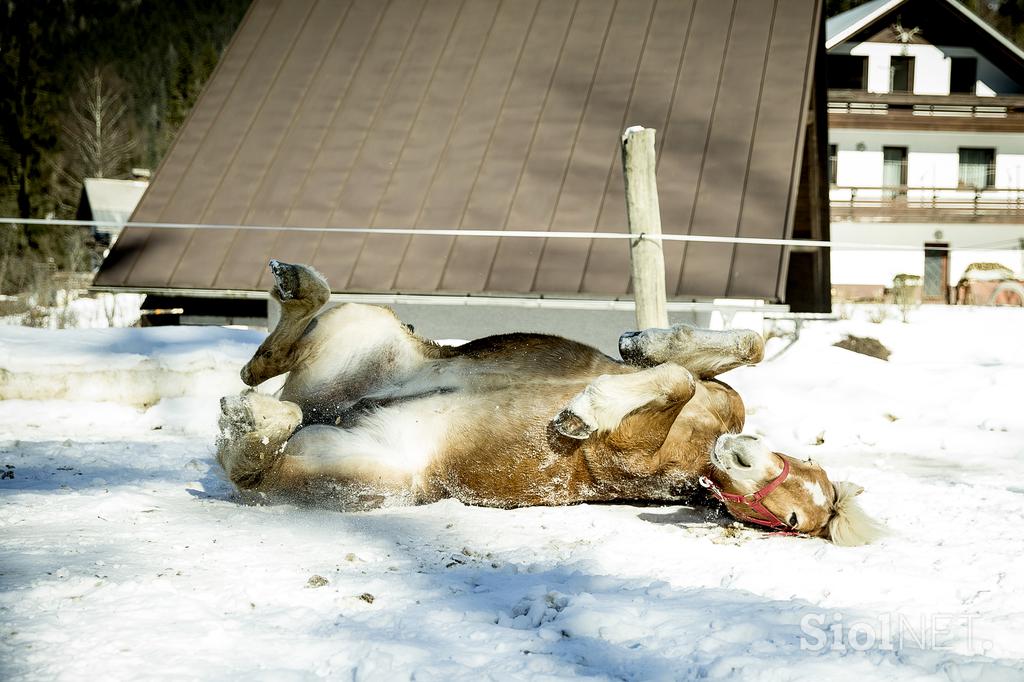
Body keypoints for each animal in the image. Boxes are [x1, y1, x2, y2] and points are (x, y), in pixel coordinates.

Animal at [216, 258, 880, 544]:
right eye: (805, 466)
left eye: (794, 521)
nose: (736, 453)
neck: (699, 446)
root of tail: (325, 406)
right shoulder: (717, 394)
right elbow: (731, 352)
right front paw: (641, 344)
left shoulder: (629, 453)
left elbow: (678, 381)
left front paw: (585, 410)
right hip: (362, 332)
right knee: (269, 355)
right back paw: (293, 291)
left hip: (366, 472)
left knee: (251, 460)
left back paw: (254, 418)